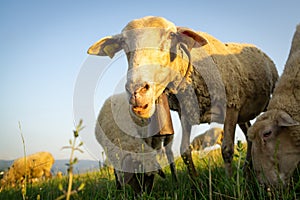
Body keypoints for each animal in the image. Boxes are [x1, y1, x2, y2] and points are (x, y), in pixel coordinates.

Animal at [86, 15, 278, 180]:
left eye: (171, 35)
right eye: (123, 42)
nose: (137, 91)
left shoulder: (231, 106)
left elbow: (227, 150)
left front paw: (230, 182)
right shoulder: (185, 113)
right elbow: (185, 152)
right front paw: (196, 185)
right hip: (242, 112)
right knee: (249, 134)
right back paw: (248, 170)